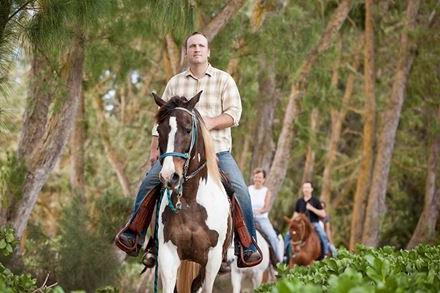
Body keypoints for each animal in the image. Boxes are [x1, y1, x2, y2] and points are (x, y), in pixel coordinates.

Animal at [152, 92, 232, 292]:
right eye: (159, 131)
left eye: (188, 129)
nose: (169, 176)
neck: (191, 201)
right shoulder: (168, 256)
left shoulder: (212, 261)